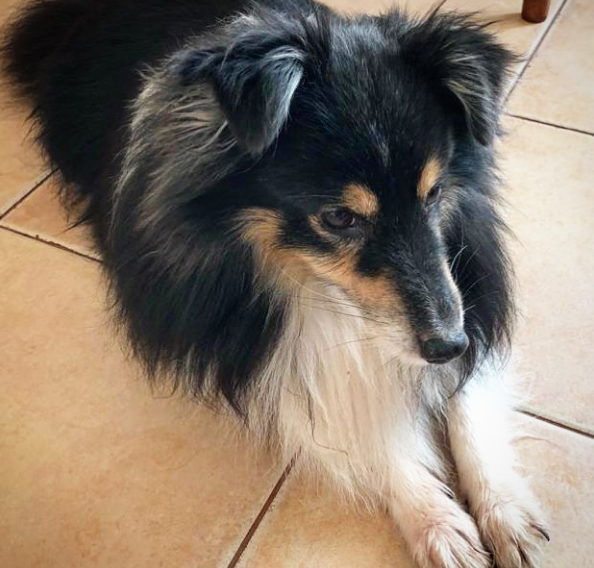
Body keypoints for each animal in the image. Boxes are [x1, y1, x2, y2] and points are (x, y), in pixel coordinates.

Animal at [1, 2, 544, 564]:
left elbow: (469, 397)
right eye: (339, 217)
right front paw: (440, 526)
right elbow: (352, 419)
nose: (447, 344)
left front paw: (506, 514)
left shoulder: (472, 304)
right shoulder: (262, 357)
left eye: (434, 193)